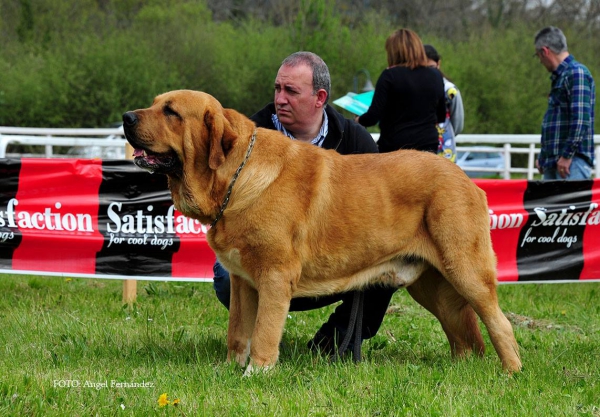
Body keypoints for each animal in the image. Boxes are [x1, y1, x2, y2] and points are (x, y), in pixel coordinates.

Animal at [122, 90, 520, 374]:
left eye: (171, 112)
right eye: (155, 104)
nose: (126, 117)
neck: (235, 178)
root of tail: (467, 180)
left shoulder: (274, 277)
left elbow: (264, 331)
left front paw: (257, 373)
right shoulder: (242, 281)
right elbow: (238, 331)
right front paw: (229, 370)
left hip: (466, 271)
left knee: (499, 323)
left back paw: (510, 373)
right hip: (433, 286)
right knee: (463, 334)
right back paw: (460, 370)